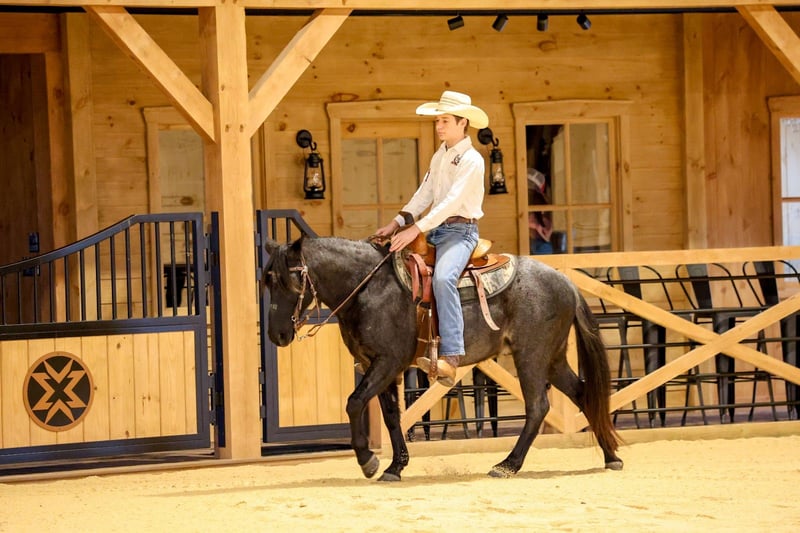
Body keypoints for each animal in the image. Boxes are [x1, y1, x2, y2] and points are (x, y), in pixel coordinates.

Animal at [263, 235, 623, 481]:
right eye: (267, 281)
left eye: (288, 279)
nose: (276, 335)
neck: (369, 288)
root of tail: (568, 283)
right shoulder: (375, 365)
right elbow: (392, 417)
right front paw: (395, 466)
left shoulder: (387, 362)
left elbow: (354, 403)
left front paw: (368, 461)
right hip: (554, 359)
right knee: (584, 395)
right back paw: (610, 456)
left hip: (531, 357)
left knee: (538, 407)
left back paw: (507, 464)